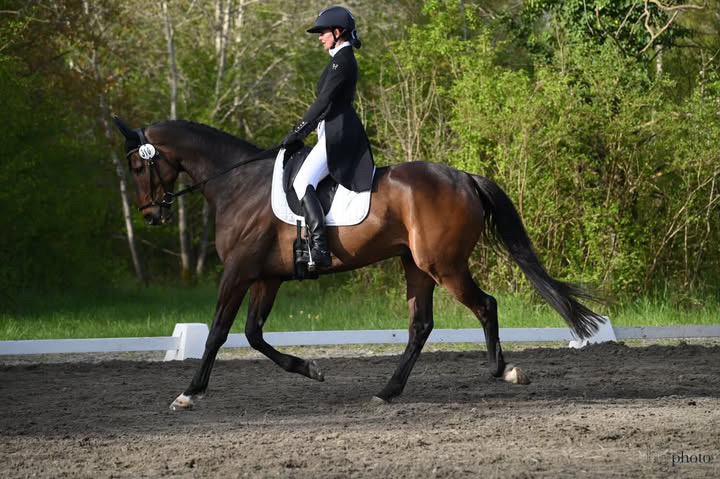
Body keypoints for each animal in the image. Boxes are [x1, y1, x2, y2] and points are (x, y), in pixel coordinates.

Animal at [113, 117, 605, 410]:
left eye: (137, 167)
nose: (151, 215)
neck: (238, 184)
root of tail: (465, 177)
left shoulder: (239, 272)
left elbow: (217, 332)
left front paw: (189, 392)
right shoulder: (267, 277)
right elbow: (252, 334)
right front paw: (310, 369)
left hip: (443, 265)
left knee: (485, 305)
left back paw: (505, 371)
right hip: (416, 266)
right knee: (420, 325)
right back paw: (387, 391)